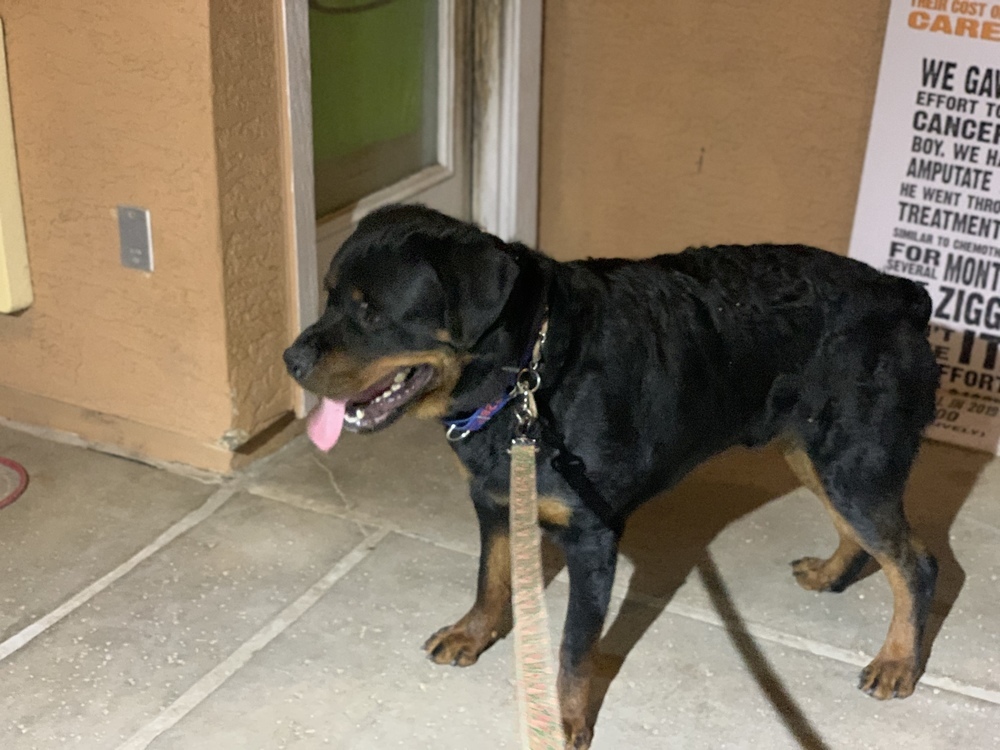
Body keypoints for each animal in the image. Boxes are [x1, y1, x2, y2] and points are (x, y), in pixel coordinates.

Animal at [286, 203, 940, 748]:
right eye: (329, 298)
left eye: (371, 311)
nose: (291, 360)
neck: (529, 373)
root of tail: (902, 292)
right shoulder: (494, 498)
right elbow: (490, 578)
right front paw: (475, 633)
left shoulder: (591, 538)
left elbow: (574, 652)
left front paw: (565, 721)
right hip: (815, 453)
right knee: (866, 536)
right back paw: (832, 575)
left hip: (854, 460)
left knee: (915, 563)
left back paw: (898, 662)